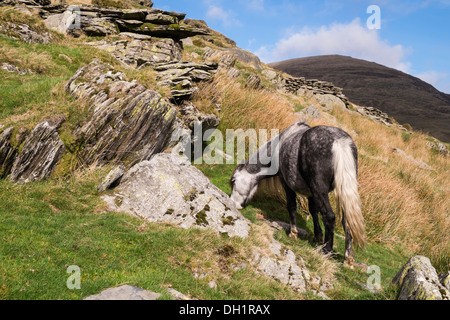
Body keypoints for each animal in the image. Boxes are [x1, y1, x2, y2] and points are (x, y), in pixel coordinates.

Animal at [232, 121, 366, 264]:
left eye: (233, 181)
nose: (233, 203)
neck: (279, 146)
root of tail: (340, 142)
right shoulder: (311, 192)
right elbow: (313, 210)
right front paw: (318, 236)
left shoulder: (287, 184)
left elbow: (292, 206)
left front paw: (293, 233)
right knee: (347, 221)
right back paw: (348, 258)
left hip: (320, 189)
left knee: (329, 216)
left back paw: (326, 252)